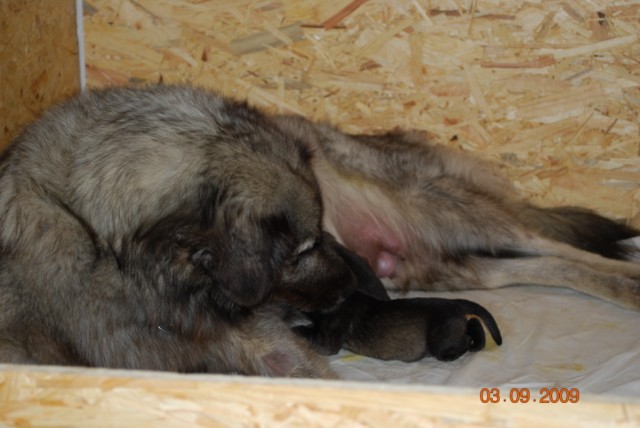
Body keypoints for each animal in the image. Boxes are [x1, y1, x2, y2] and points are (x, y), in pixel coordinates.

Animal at [0, 84, 636, 378]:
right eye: (303, 248)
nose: (356, 281)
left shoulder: (274, 345)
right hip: (440, 269)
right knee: (542, 266)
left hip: (440, 210)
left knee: (556, 245)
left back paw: (630, 282)